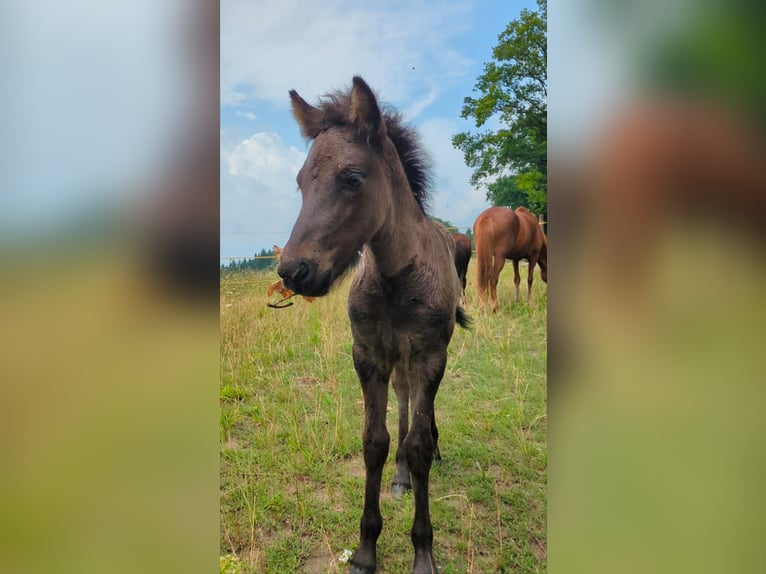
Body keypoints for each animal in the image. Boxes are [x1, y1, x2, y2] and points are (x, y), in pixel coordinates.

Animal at [277, 76, 471, 574]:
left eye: (352, 178)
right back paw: (400, 478)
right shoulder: (367, 356)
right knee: (403, 404)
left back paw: (432, 450)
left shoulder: (429, 355)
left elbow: (417, 443)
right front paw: (366, 550)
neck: (393, 279)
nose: (293, 271)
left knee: (420, 414)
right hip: (397, 361)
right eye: (301, 182)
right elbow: (375, 442)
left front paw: (423, 551)